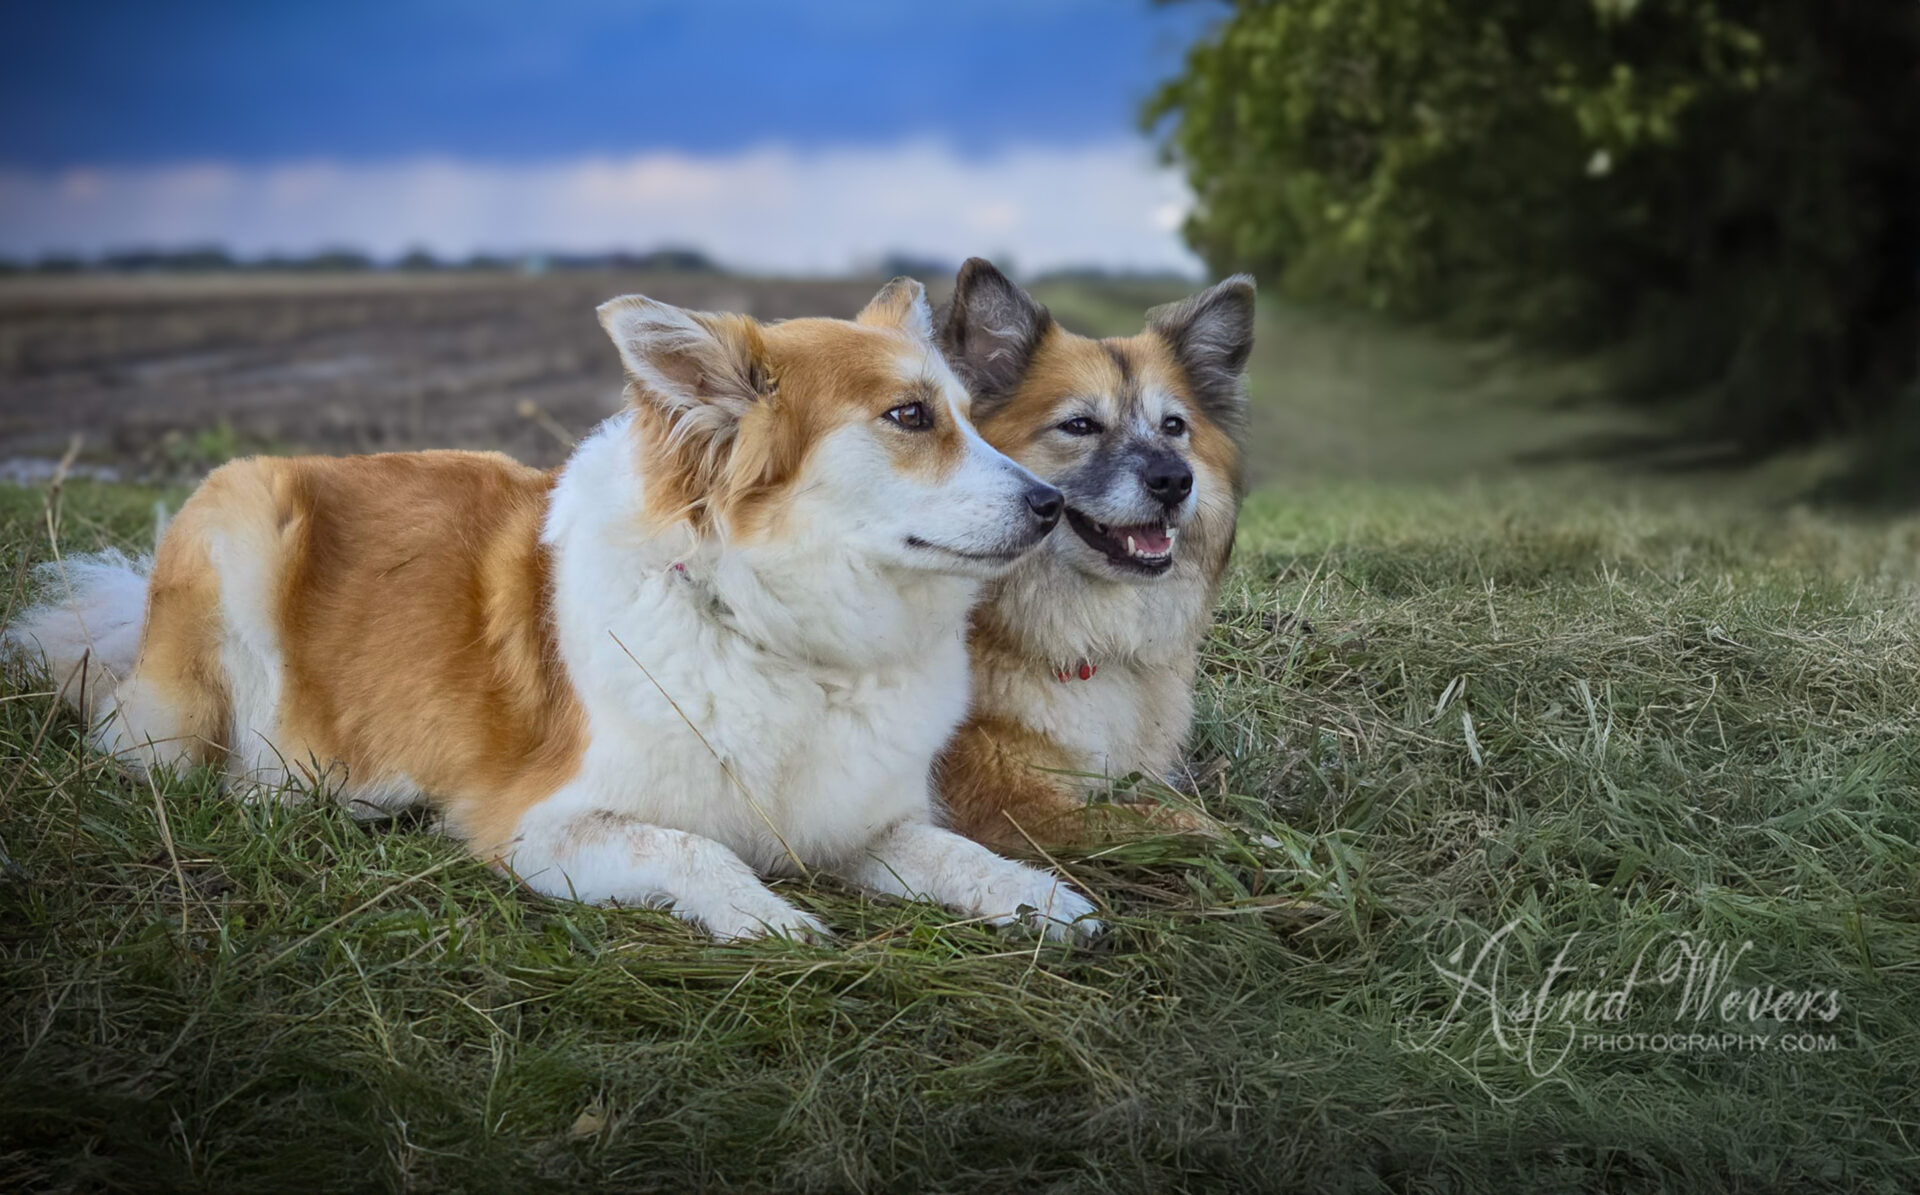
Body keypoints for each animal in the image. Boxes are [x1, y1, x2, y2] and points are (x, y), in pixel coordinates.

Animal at [7, 280, 1105, 945]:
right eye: (910, 417)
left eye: (964, 414)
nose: (1055, 506)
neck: (783, 636)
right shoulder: (542, 825)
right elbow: (692, 844)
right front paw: (765, 917)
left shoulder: (857, 819)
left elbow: (955, 850)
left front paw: (1038, 896)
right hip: (235, 515)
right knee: (199, 759)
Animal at [933, 259, 1259, 853]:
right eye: (1080, 425)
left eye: (1173, 426)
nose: (1175, 480)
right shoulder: (1010, 804)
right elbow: (1154, 818)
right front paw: (1244, 839)